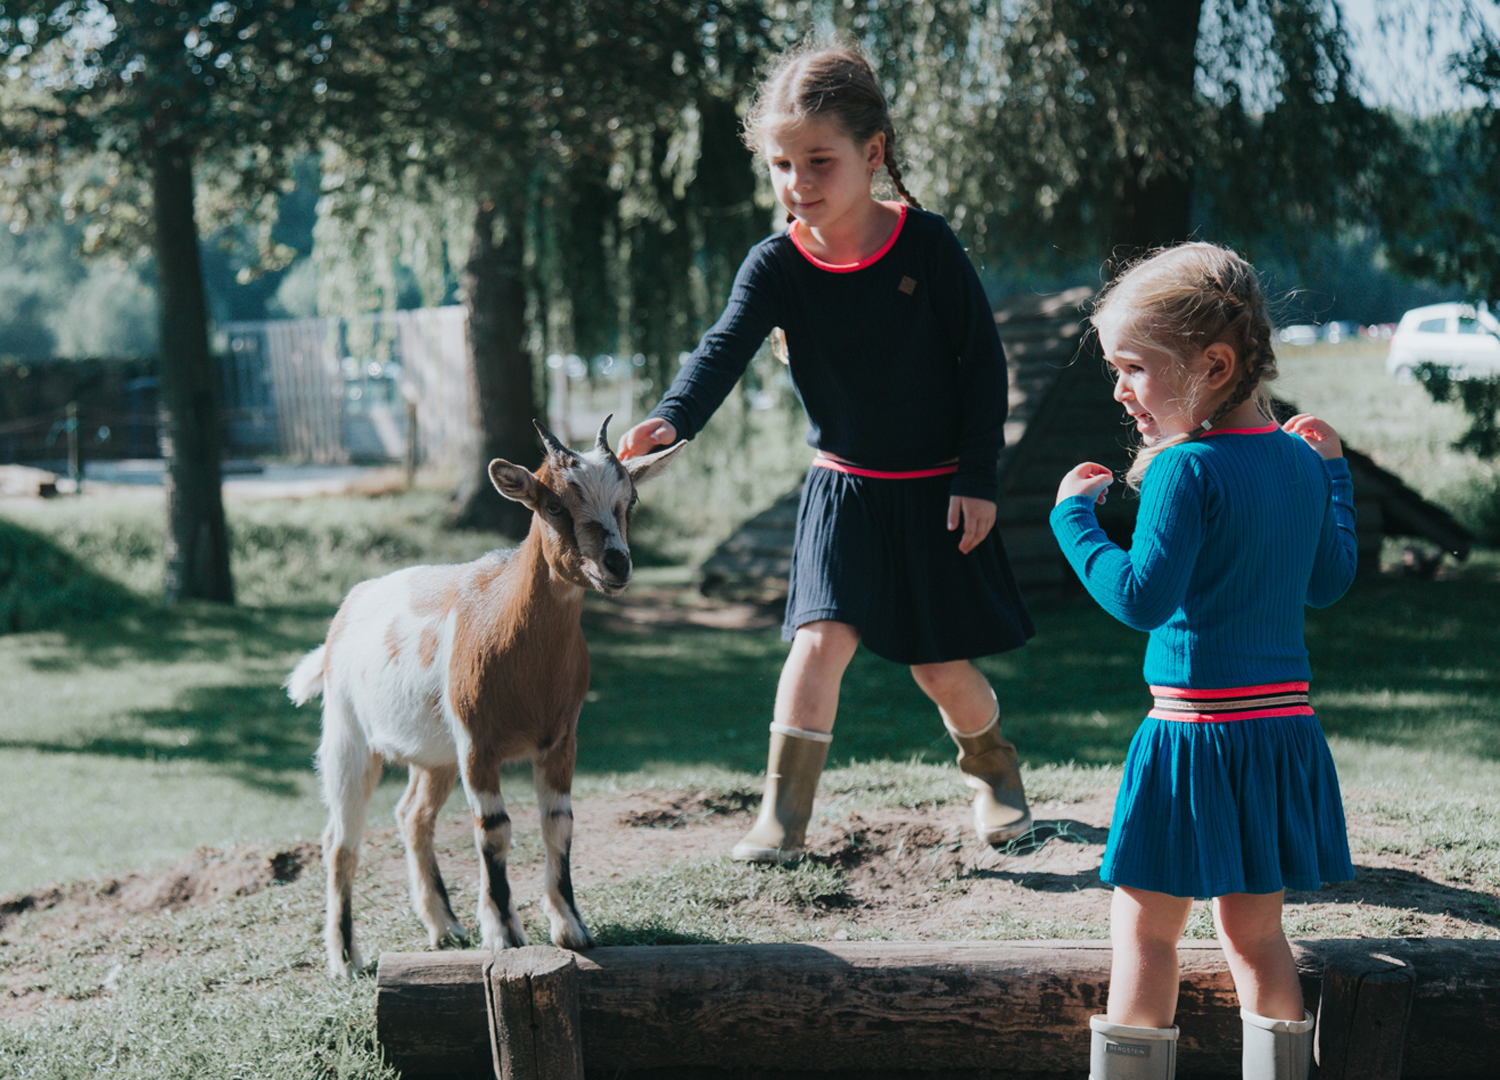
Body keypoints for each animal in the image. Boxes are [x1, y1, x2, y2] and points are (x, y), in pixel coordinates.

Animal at [283, 417, 684, 972]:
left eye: (631, 500)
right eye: (553, 504)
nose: (616, 564)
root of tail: (348, 609)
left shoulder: (561, 739)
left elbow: (559, 823)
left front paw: (572, 928)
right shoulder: (478, 743)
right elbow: (493, 828)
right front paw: (504, 932)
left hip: (435, 757)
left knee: (413, 816)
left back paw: (444, 926)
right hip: (347, 735)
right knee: (340, 840)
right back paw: (345, 956)